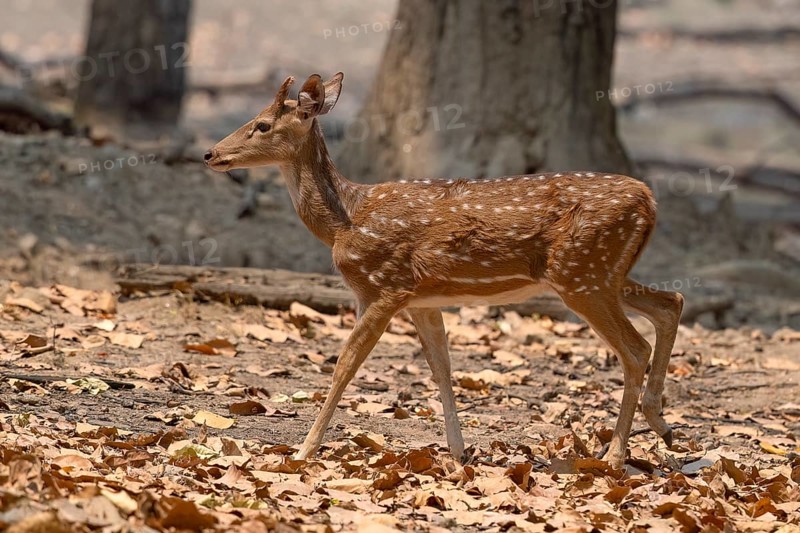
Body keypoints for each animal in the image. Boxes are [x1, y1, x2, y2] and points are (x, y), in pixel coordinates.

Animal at [204, 72, 684, 469]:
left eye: (262, 124)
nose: (210, 153)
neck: (346, 221)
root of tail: (649, 200)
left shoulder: (383, 287)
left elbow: (345, 364)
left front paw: (303, 450)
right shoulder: (422, 299)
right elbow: (442, 369)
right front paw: (458, 453)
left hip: (583, 274)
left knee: (635, 347)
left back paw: (616, 455)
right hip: (602, 273)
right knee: (671, 301)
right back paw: (662, 425)